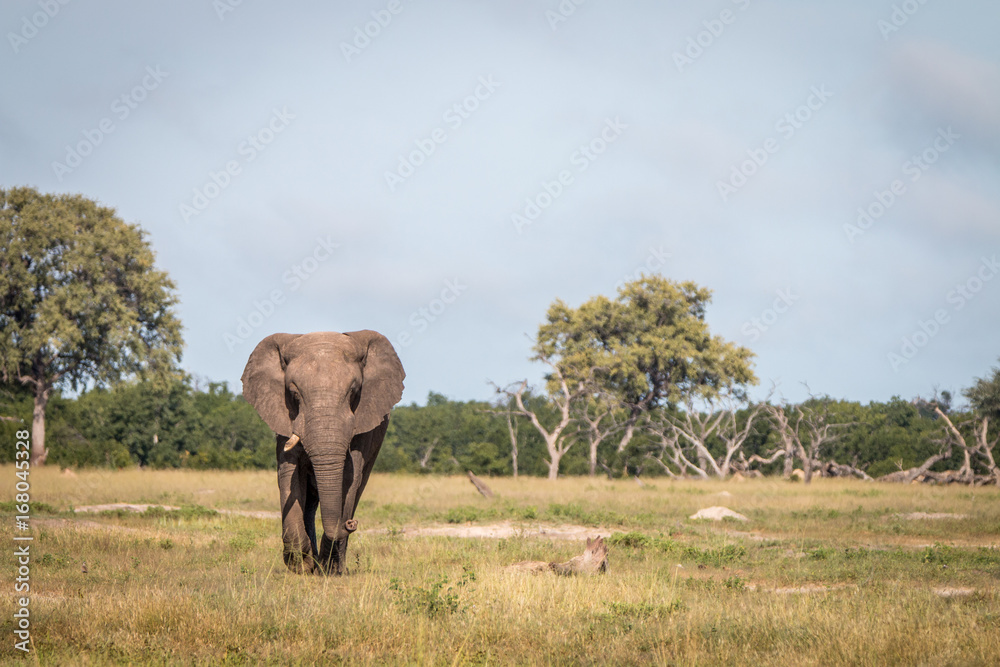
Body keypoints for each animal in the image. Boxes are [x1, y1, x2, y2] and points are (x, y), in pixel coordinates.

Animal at [241, 330, 404, 575]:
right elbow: (289, 475)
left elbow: (349, 479)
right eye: (293, 393)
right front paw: (302, 566)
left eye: (354, 392)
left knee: (356, 490)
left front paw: (328, 569)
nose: (351, 524)